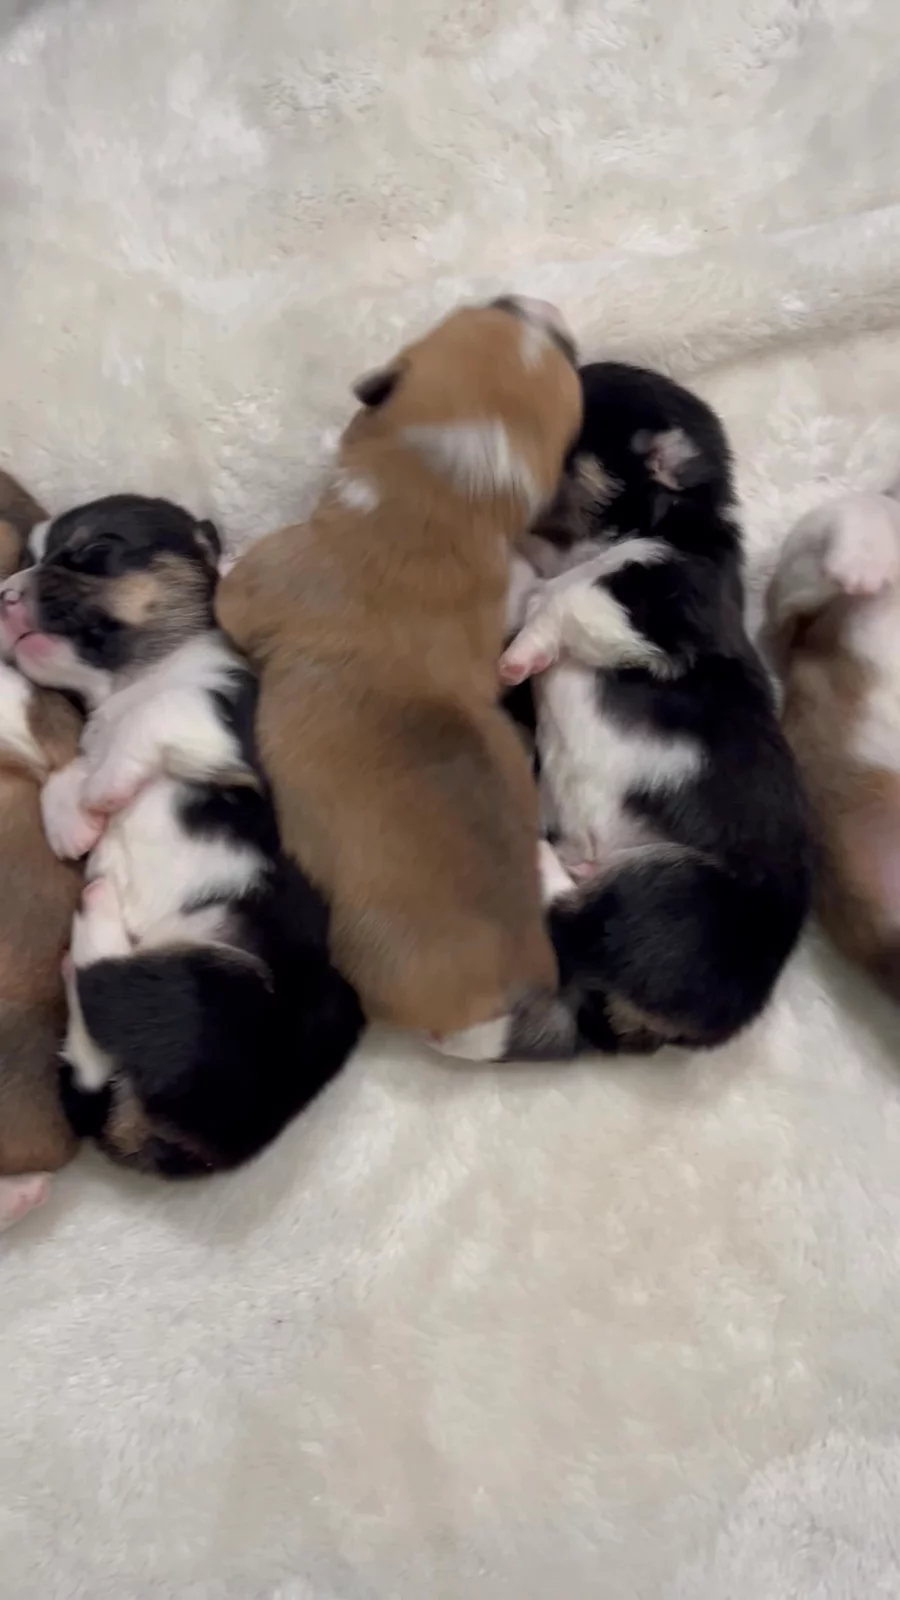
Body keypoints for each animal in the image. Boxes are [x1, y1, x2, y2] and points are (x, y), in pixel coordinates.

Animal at [0, 494, 364, 1177]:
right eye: (23, 561)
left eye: (93, 551)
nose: (5, 594)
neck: (126, 684)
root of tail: (202, 1147)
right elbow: (69, 769)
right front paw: (73, 820)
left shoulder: (226, 719)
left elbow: (156, 713)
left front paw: (102, 789)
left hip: (211, 983)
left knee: (107, 982)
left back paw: (95, 914)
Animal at [216, 297, 583, 1058]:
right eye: (503, 308)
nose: (544, 307)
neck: (450, 487)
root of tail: (513, 989)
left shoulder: (264, 584)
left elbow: (230, 591)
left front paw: (225, 552)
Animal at [496, 362, 813, 1054]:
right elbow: (542, 588)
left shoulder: (660, 602)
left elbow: (562, 599)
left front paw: (522, 653)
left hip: (666, 890)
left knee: (568, 923)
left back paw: (533, 853)